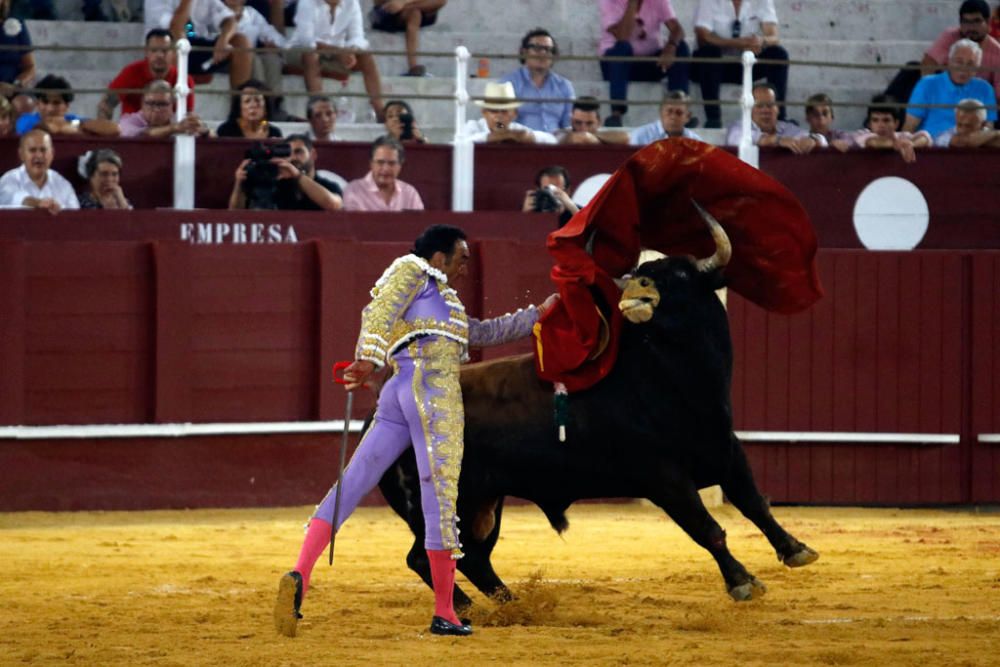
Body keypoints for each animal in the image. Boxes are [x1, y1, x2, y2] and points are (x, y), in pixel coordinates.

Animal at [376, 215, 820, 612]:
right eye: (642, 272)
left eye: (679, 275)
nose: (639, 287)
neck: (675, 380)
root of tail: (383, 417)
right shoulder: (664, 477)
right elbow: (707, 529)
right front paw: (742, 582)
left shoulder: (727, 452)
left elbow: (755, 503)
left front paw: (796, 549)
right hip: (447, 500)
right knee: (430, 555)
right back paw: (468, 607)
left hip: (485, 500)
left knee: (472, 556)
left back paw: (510, 605)